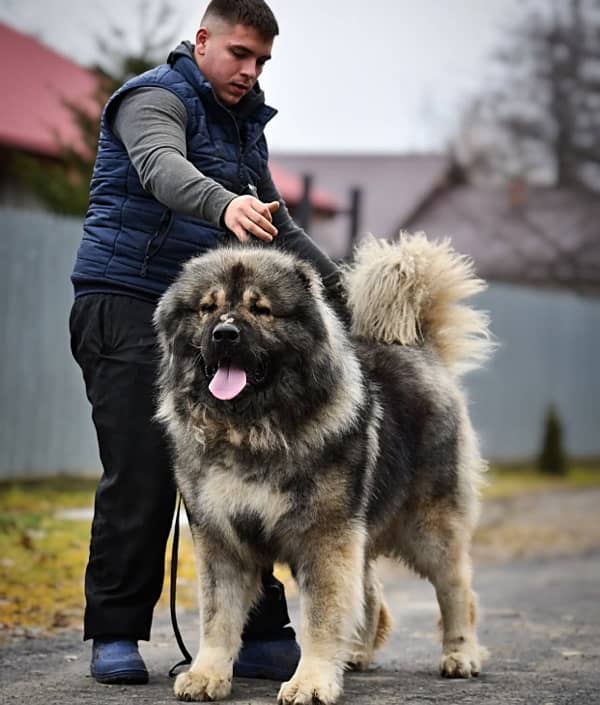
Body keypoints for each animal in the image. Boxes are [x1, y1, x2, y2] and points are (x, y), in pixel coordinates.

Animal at [154, 234, 492, 700]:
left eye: (261, 309)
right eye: (208, 307)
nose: (224, 334)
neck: (251, 429)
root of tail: (419, 349)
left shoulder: (324, 538)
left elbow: (321, 617)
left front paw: (311, 681)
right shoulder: (221, 539)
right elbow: (217, 617)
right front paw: (207, 675)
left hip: (429, 529)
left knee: (457, 589)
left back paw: (461, 655)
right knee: (372, 593)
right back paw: (356, 654)